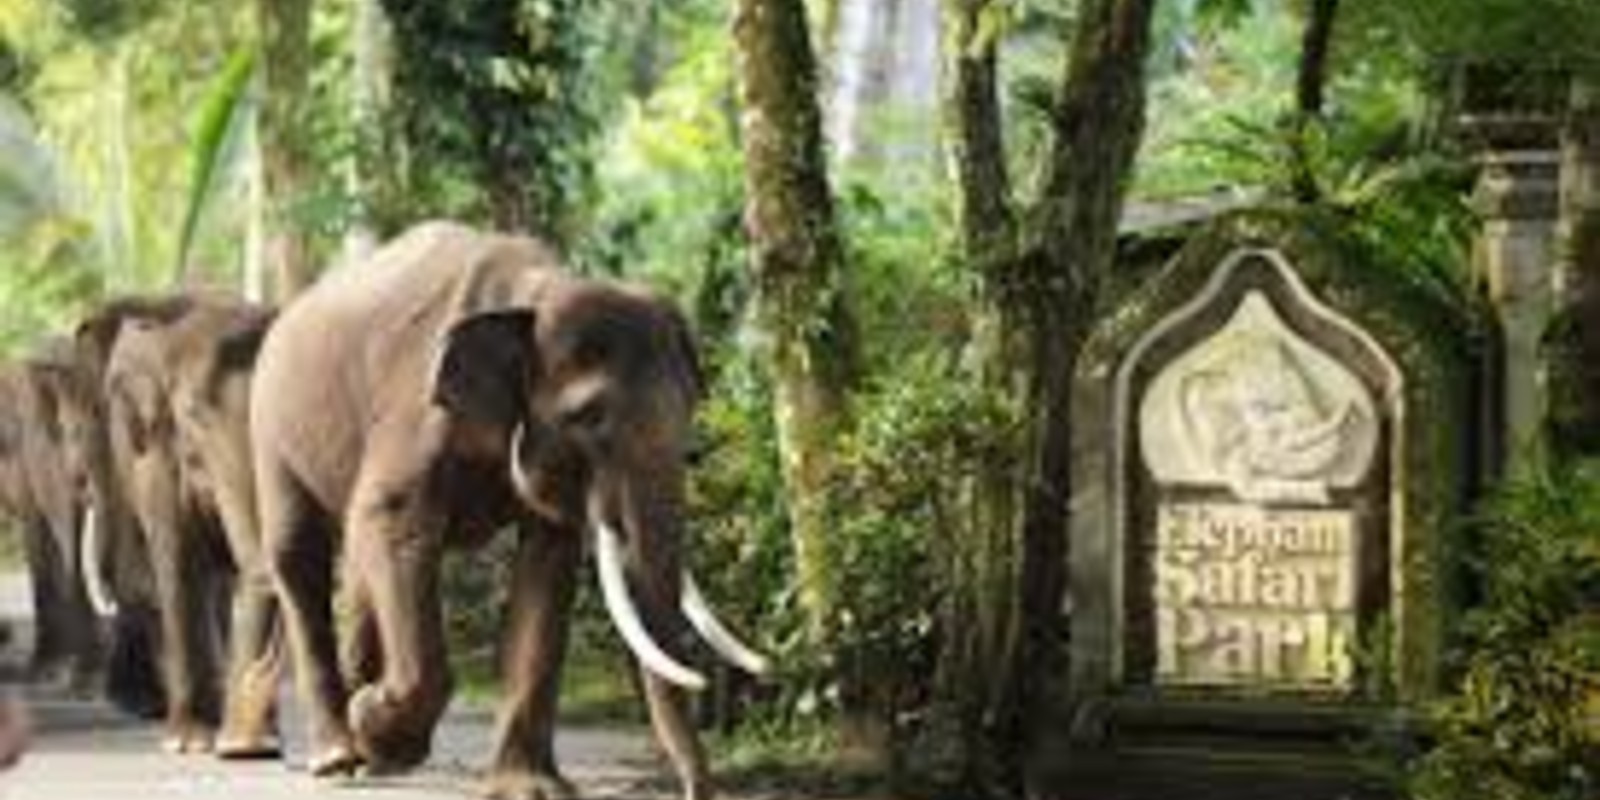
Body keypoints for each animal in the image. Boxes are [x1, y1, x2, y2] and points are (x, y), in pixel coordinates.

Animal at [99, 294, 282, 755]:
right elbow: (178, 558)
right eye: (193, 416)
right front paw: (190, 742)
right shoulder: (154, 453)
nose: (248, 742)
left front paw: (251, 743)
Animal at [252, 221, 767, 800]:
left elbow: (548, 563)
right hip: (269, 425)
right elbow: (395, 521)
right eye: (590, 416)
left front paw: (530, 789)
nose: (697, 788)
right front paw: (376, 717)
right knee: (299, 555)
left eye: (691, 412)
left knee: (360, 569)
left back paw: (369, 757)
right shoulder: (416, 412)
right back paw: (339, 756)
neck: (534, 290)